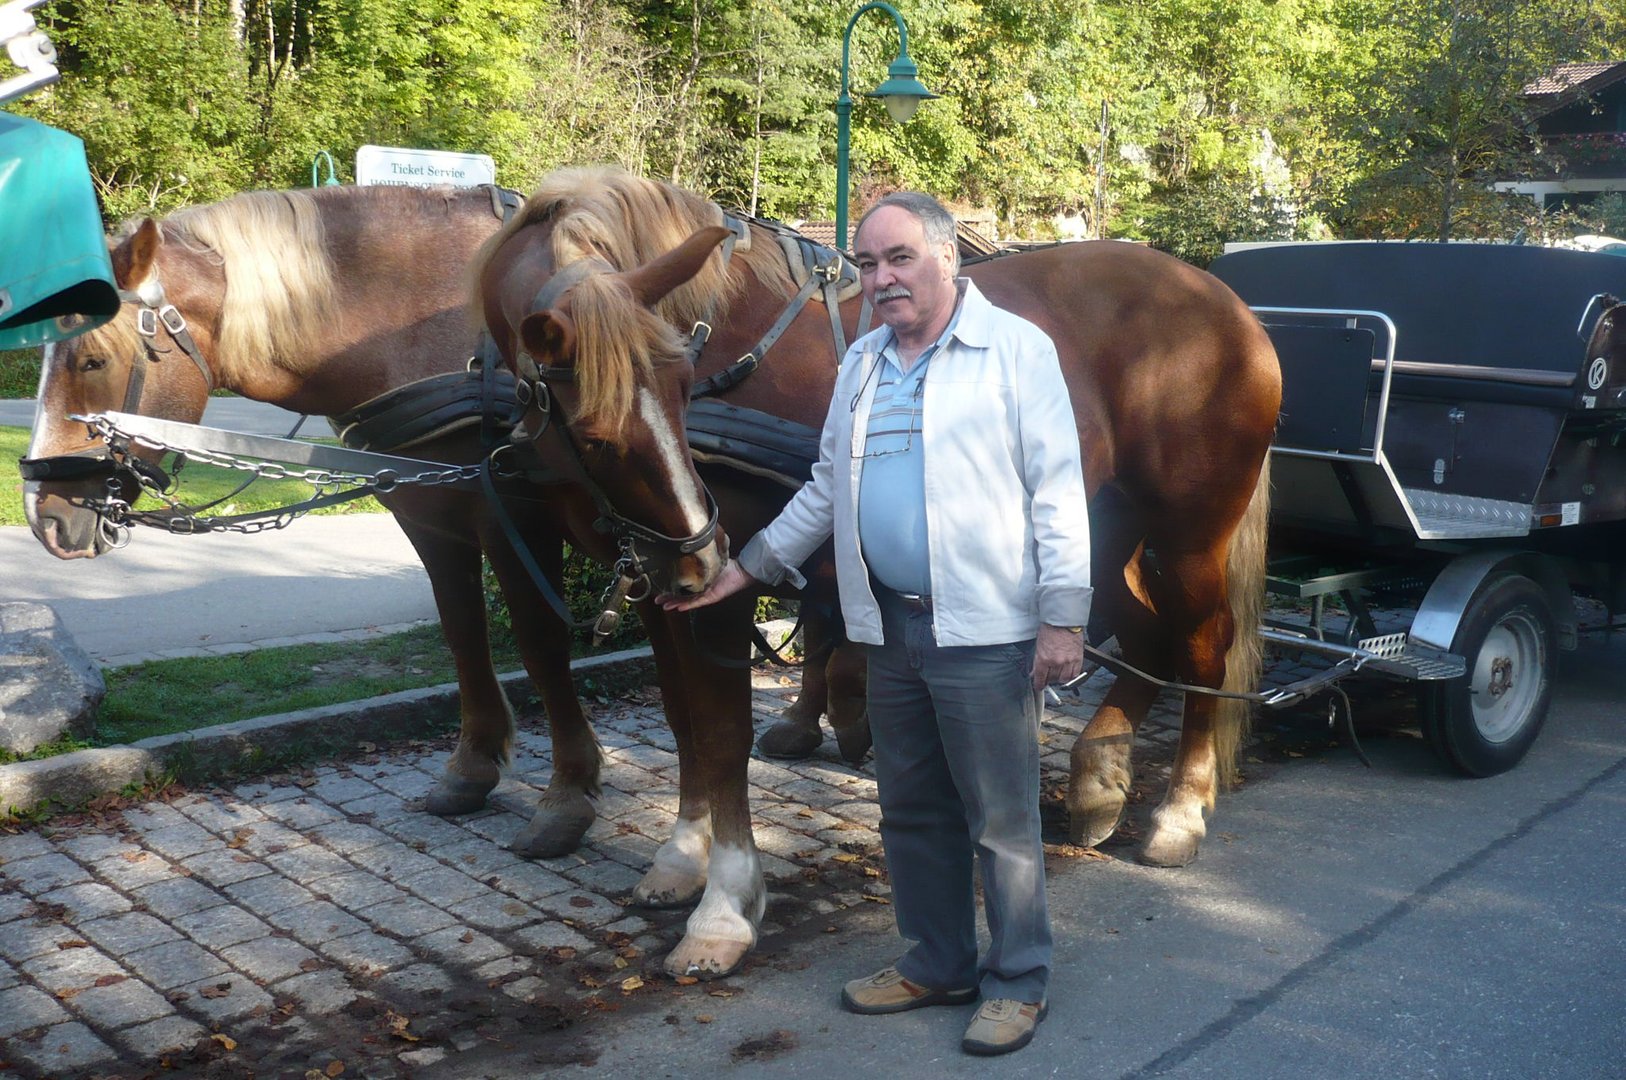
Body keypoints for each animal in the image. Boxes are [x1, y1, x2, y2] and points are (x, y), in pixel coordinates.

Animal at [22, 178, 865, 871]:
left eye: (92, 360)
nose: (46, 513)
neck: (426, 326)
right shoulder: (437, 517)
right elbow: (463, 630)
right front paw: (473, 766)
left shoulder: (519, 517)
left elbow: (541, 644)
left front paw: (568, 796)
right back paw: (813, 721)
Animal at [471, 164, 1281, 975]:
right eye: (597, 436)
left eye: (680, 389)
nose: (705, 552)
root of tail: (1225, 303)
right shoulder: (661, 589)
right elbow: (683, 719)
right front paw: (681, 857)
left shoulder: (717, 601)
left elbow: (723, 731)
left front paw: (724, 907)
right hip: (1092, 538)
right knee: (1144, 639)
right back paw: (1099, 779)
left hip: (1188, 536)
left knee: (1203, 646)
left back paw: (1180, 810)